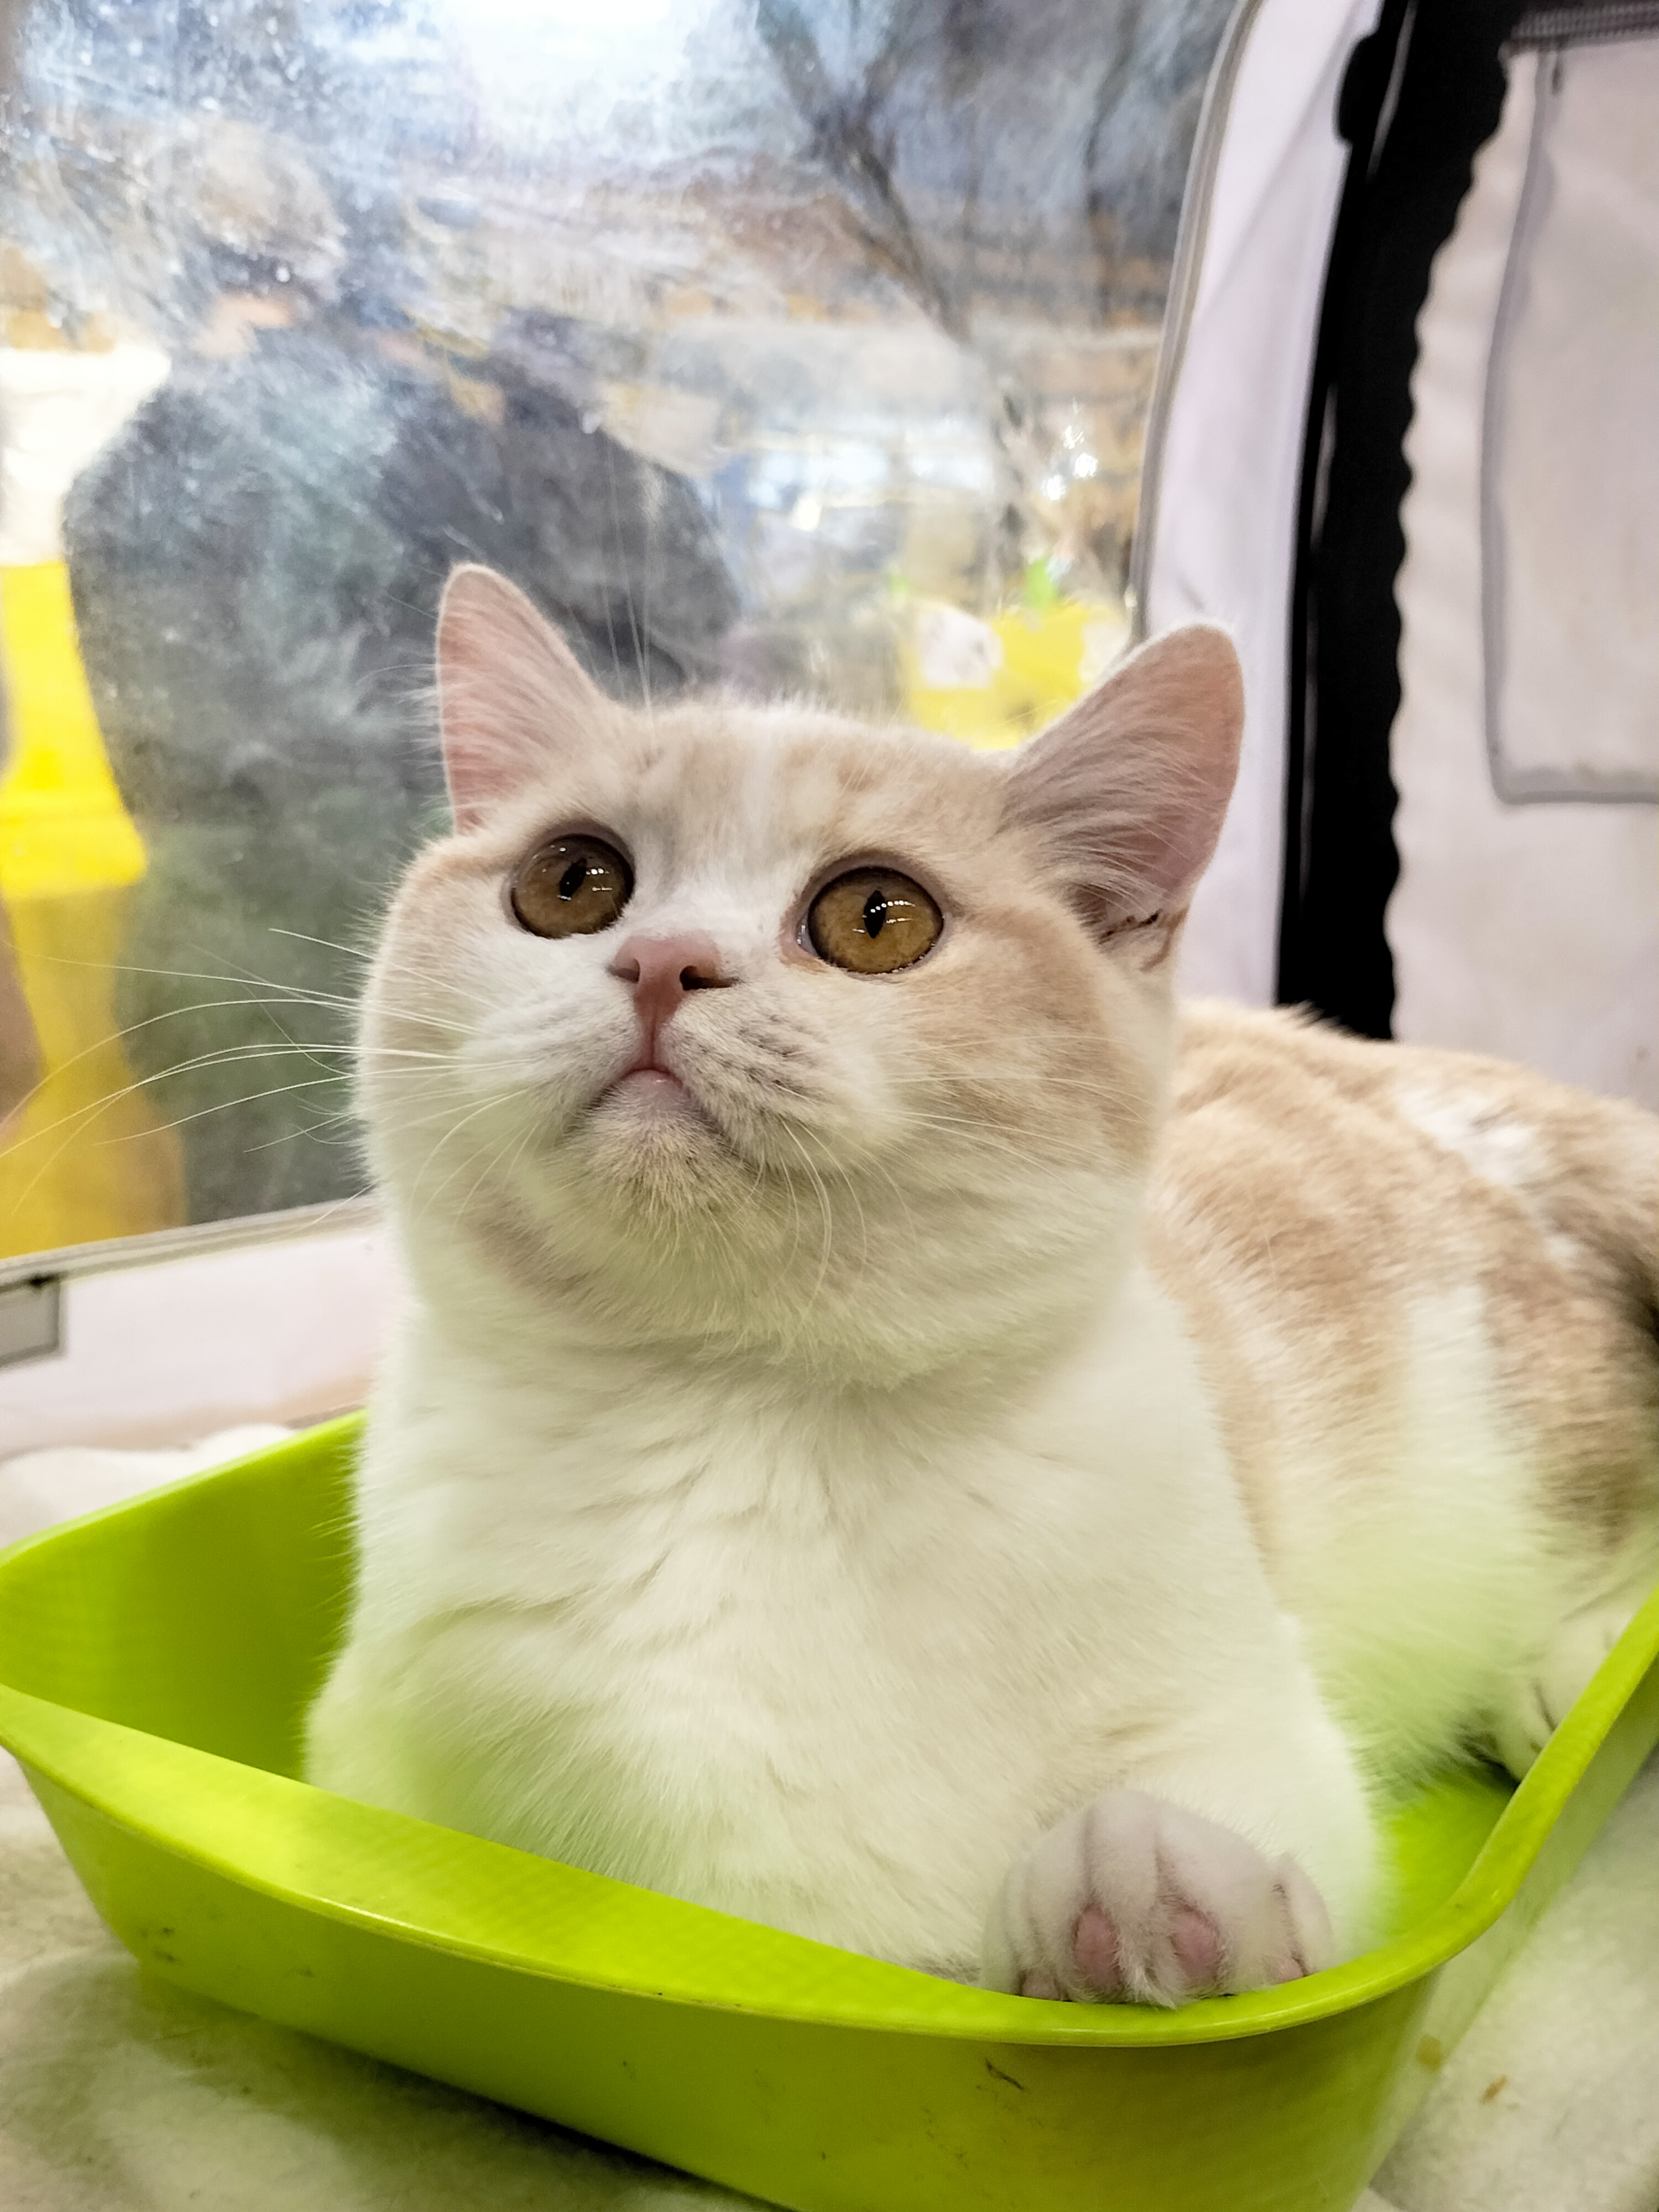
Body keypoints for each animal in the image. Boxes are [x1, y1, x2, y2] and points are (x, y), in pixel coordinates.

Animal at [303, 566, 1659, 2008]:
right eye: (571, 880)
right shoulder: (371, 1757)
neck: (737, 1408)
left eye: (875, 917)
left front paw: (1151, 1893)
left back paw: (1568, 1664)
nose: (663, 958)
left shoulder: (1258, 1725)